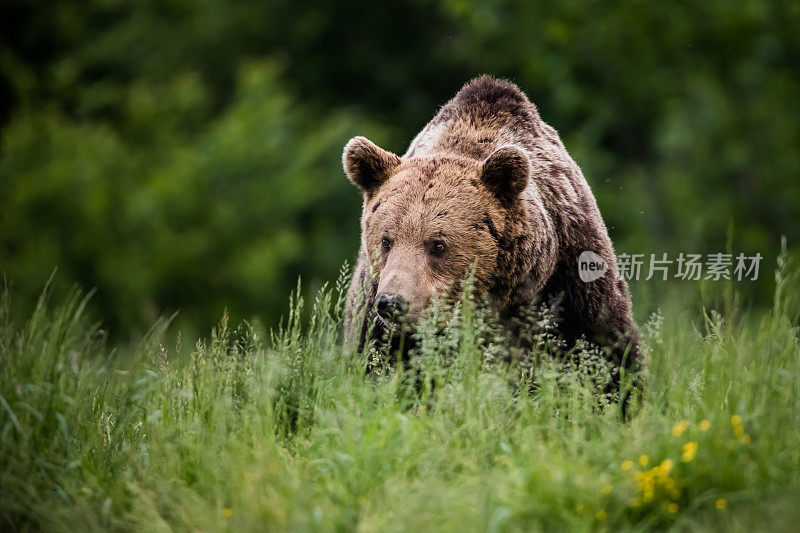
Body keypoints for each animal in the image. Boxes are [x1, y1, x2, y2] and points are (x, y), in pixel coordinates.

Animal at [342, 75, 636, 374]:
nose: (392, 303)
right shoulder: (372, 301)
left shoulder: (571, 272)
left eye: (438, 245)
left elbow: (603, 343)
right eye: (386, 241)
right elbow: (375, 354)